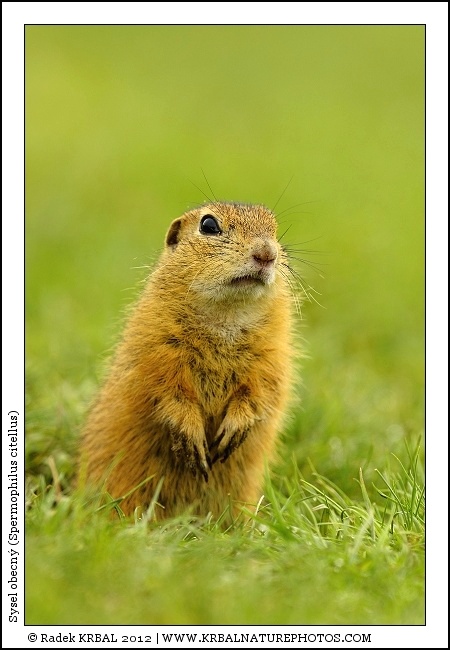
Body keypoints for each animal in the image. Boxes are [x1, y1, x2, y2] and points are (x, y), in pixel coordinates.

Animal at [79, 201, 296, 521]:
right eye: (208, 225)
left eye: (275, 229)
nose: (267, 254)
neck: (227, 315)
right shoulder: (157, 346)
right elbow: (167, 391)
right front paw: (191, 437)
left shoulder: (273, 353)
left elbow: (263, 388)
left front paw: (234, 430)